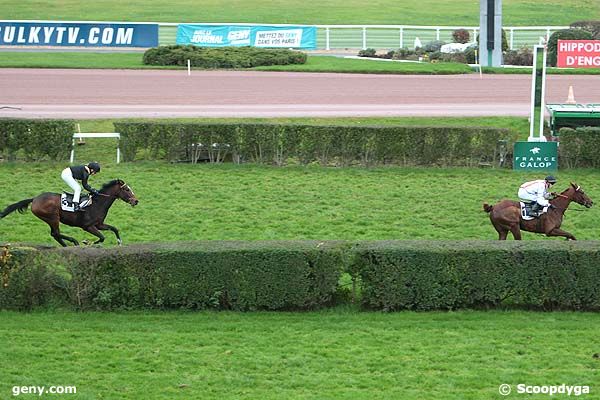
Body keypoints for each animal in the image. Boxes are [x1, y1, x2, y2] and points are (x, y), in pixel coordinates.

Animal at [0, 179, 138, 247]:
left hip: (51, 219)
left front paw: (119, 242)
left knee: (55, 234)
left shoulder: (99, 224)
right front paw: (86, 242)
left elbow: (114, 229)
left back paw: (67, 246)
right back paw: (74, 242)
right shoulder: (88, 226)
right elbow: (102, 237)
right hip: (53, 217)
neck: (97, 203)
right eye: (127, 189)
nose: (136, 201)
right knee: (56, 233)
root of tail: (34, 199)